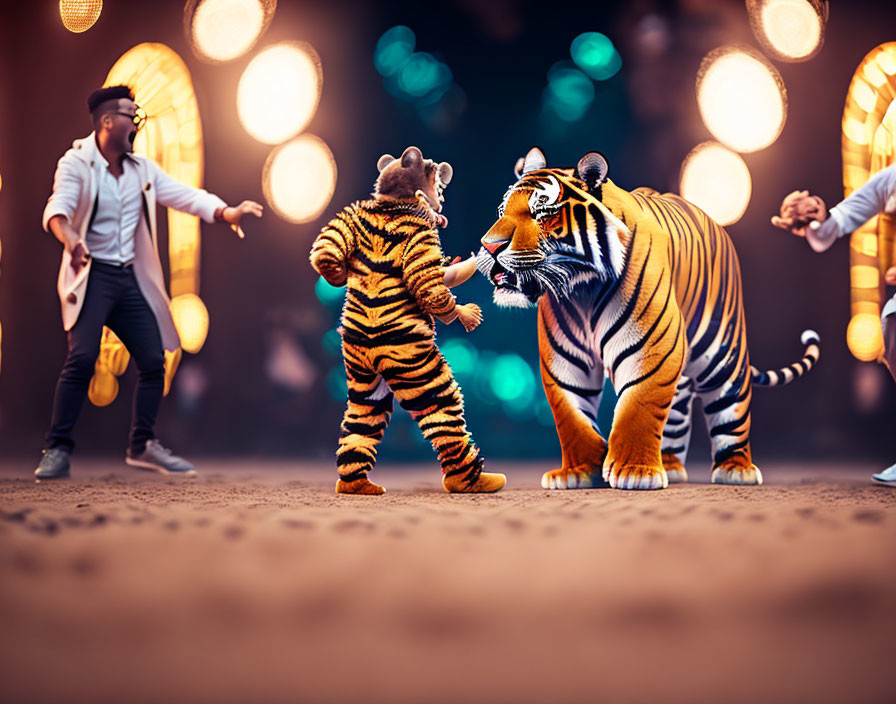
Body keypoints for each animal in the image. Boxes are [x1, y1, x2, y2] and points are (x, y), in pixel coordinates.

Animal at [476, 148, 820, 490]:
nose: (488, 246)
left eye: (543, 212)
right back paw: (669, 466)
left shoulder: (651, 350)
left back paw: (736, 469)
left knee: (732, 405)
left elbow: (638, 407)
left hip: (722, 351)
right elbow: (572, 416)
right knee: (675, 413)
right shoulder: (565, 361)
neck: (582, 289)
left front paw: (634, 472)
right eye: (502, 210)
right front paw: (579, 471)